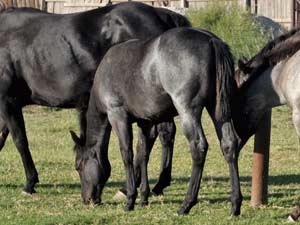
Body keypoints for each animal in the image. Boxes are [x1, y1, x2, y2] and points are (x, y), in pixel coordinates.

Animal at [0, 1, 190, 194]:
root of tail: (160, 14)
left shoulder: (8, 101)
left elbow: (20, 140)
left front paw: (30, 183)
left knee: (159, 134)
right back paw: (158, 184)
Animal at [71, 27, 241, 215]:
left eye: (78, 166)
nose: (87, 199)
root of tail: (211, 40)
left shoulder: (117, 116)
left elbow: (127, 154)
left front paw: (130, 199)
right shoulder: (145, 122)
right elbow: (143, 154)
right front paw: (143, 197)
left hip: (188, 110)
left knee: (198, 147)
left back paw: (186, 204)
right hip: (218, 111)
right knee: (229, 143)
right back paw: (235, 204)